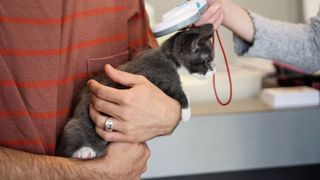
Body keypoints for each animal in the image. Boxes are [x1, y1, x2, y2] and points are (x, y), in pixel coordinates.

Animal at [56, 23, 215, 159]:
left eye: (212, 61)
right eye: (207, 61)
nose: (213, 71)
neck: (170, 59)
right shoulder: (152, 75)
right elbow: (175, 89)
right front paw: (187, 112)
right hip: (77, 123)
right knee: (72, 136)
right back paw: (83, 151)